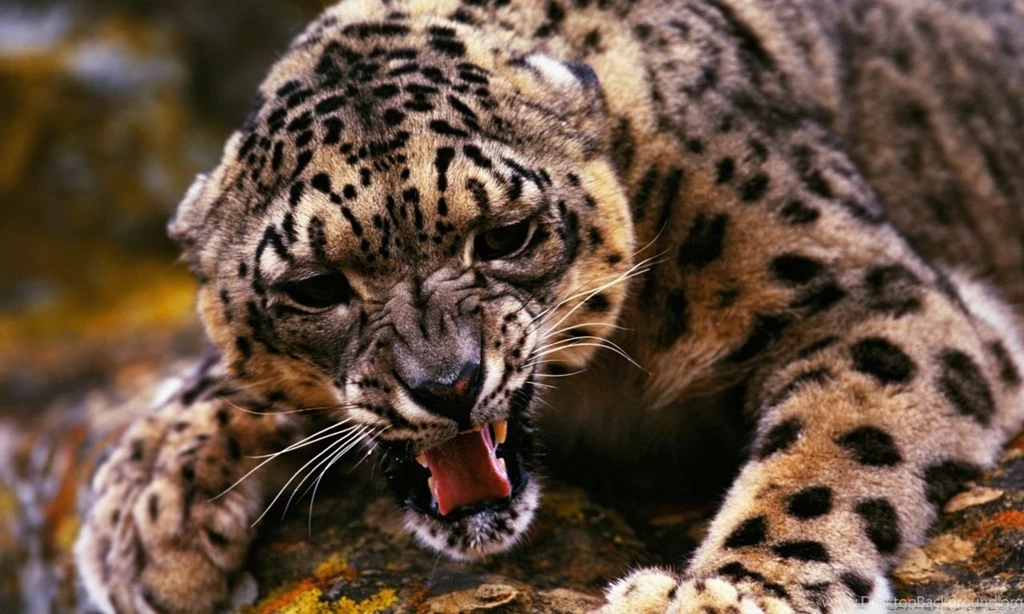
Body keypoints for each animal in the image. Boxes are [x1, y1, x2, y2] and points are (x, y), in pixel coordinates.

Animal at [70, 0, 1024, 611]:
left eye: (506, 236)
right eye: (315, 287)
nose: (448, 384)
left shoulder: (866, 297)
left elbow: (824, 465)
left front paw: (719, 596)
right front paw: (143, 519)